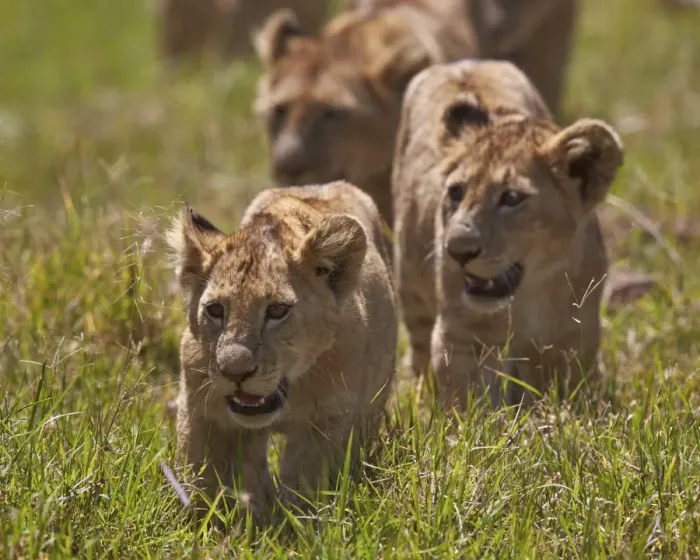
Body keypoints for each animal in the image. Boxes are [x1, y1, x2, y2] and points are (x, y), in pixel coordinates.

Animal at [168, 181, 397, 518]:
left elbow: (306, 486)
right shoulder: (202, 410)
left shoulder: (328, 420)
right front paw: (205, 522)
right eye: (215, 310)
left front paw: (294, 524)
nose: (234, 372)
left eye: (277, 310)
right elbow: (202, 478)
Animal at [392, 59, 623, 408]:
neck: (531, 293)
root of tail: (462, 64)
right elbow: (469, 400)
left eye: (512, 197)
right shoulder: (463, 334)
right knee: (419, 357)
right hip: (412, 290)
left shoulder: (573, 336)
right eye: (456, 192)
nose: (456, 251)